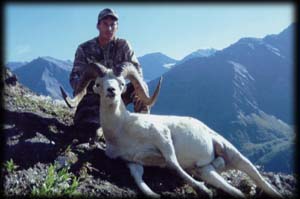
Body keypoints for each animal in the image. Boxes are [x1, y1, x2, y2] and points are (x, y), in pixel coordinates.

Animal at [60, 61, 282, 198]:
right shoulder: (132, 162)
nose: (111, 91)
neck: (122, 130)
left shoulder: (163, 139)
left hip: (233, 153)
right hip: (206, 169)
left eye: (121, 83)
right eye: (99, 83)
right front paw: (153, 194)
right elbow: (138, 178)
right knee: (229, 186)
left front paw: (203, 191)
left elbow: (174, 165)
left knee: (257, 176)